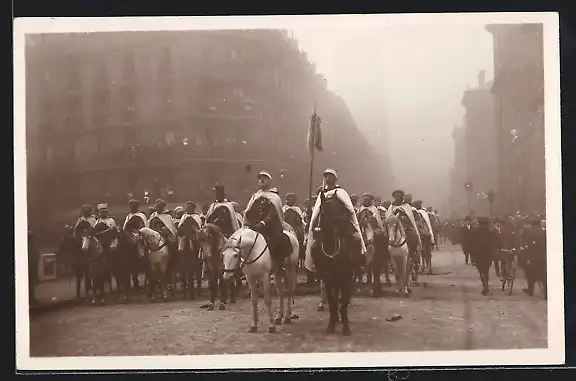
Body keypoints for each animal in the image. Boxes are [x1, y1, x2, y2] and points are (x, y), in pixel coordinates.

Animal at [310, 190, 360, 336]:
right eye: (325, 209)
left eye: (341, 207)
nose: (346, 228)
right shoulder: (327, 277)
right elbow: (332, 300)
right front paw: (331, 325)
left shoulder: (348, 277)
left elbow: (344, 300)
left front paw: (346, 327)